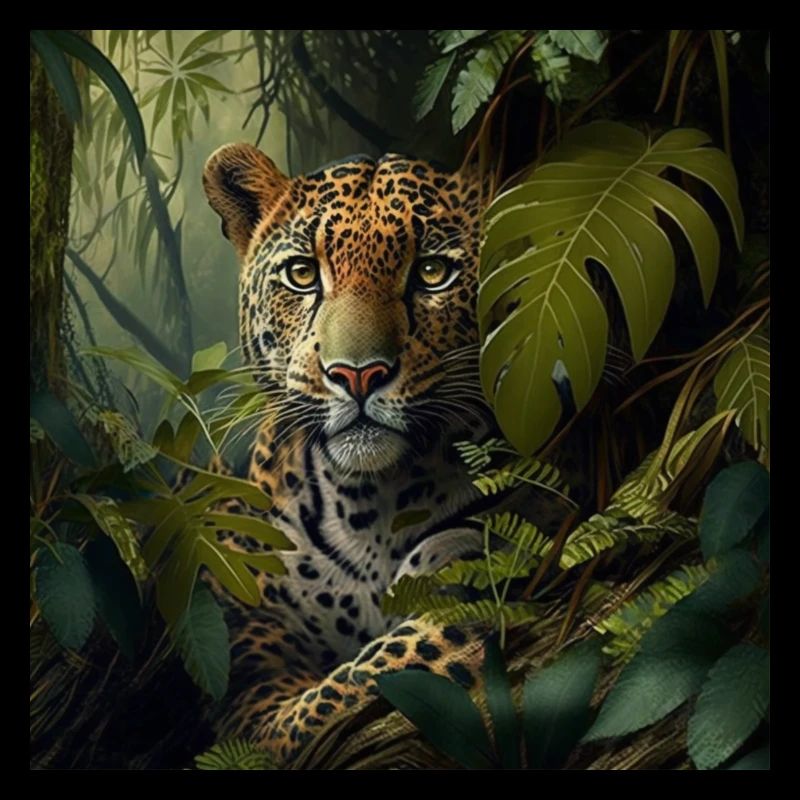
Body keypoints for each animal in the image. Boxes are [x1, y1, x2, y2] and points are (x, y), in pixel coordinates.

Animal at [200, 143, 573, 766]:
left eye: (432, 272)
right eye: (302, 274)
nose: (357, 375)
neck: (365, 501)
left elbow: (373, 672)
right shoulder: (251, 636)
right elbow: (277, 712)